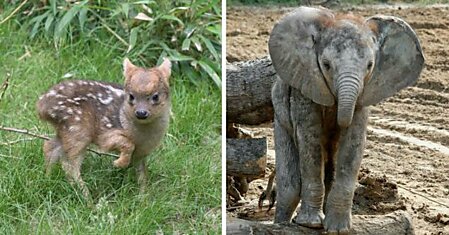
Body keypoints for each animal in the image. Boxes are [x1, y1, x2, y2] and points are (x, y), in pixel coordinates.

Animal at [270, 6, 424, 234]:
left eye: (370, 65)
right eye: (326, 65)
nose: (337, 118)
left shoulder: (364, 94)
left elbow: (353, 143)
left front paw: (338, 229)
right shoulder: (305, 86)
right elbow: (309, 140)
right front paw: (310, 224)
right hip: (280, 116)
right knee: (290, 188)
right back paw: (282, 224)